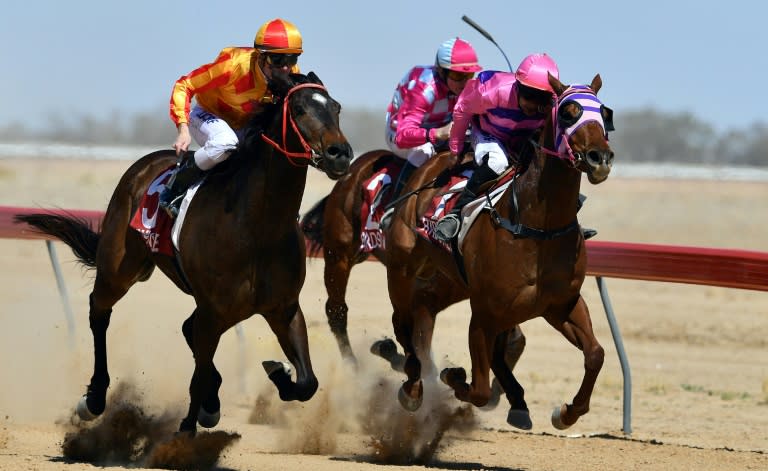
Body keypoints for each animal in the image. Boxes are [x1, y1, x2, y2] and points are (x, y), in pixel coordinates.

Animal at [12, 70, 354, 436]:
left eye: (336, 107)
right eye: (301, 110)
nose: (340, 154)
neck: (259, 227)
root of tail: (144, 165)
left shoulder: (282, 309)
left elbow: (307, 383)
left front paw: (277, 372)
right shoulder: (215, 310)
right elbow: (197, 378)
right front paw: (188, 426)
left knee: (188, 331)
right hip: (119, 270)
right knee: (99, 312)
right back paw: (94, 399)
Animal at [388, 72, 616, 430]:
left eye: (605, 114)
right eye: (569, 113)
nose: (600, 158)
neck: (537, 228)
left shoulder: (561, 305)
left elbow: (595, 354)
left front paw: (566, 413)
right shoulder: (484, 313)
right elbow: (479, 389)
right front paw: (453, 376)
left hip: (451, 280)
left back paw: (517, 403)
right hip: (401, 266)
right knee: (403, 323)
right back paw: (412, 386)